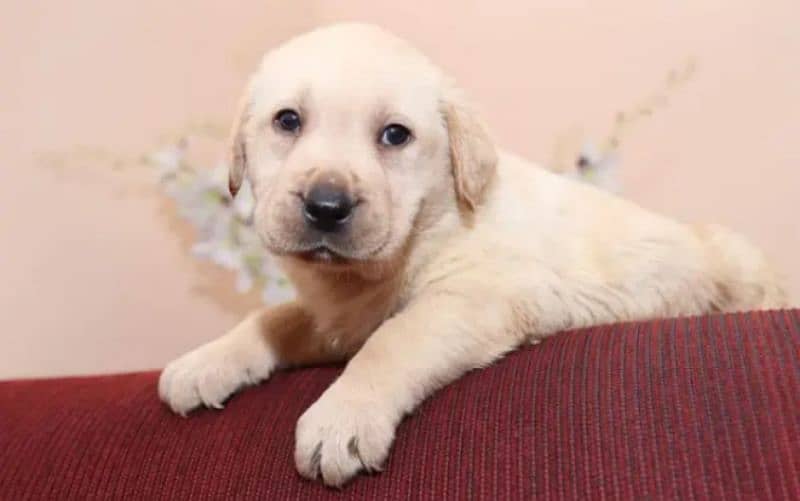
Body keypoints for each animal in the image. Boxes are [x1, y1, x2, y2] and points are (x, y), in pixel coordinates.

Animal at [159, 22, 792, 484]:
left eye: (395, 135)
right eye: (287, 121)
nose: (326, 206)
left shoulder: (473, 298)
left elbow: (393, 341)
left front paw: (342, 417)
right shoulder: (336, 319)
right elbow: (272, 318)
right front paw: (204, 362)